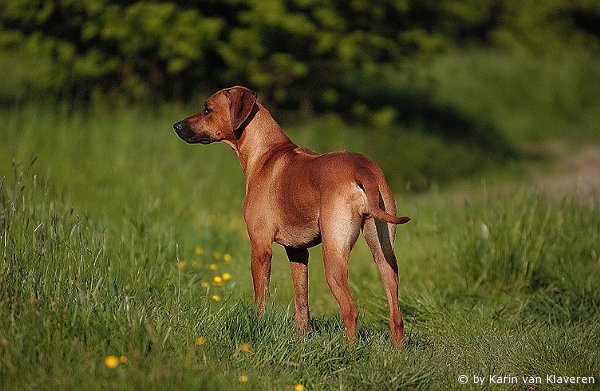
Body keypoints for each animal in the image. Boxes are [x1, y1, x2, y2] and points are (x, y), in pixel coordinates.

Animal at [171, 87, 410, 348]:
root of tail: (362, 168)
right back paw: (398, 351)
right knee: (396, 314)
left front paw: (258, 327)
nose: (176, 125)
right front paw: (301, 339)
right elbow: (301, 302)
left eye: (207, 109)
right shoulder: (297, 252)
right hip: (384, 252)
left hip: (333, 254)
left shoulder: (260, 247)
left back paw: (348, 350)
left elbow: (261, 298)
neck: (265, 154)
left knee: (350, 310)